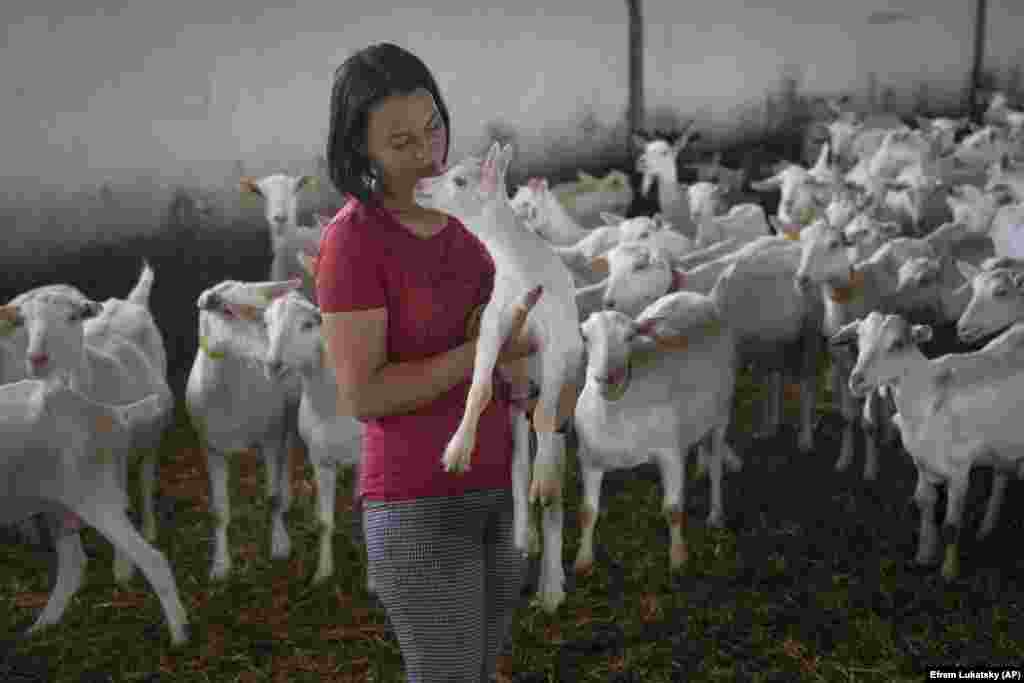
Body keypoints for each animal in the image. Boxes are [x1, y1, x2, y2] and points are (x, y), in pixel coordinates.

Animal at [0, 378, 188, 647]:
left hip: (96, 498)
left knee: (153, 559)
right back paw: (41, 627)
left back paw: (180, 637)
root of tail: (112, 414)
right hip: (61, 507)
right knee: (74, 565)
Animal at [185, 280, 303, 581]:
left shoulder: (269, 437)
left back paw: (287, 496)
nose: (275, 360)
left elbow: (272, 498)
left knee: (289, 448)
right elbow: (219, 511)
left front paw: (279, 545)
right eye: (226, 310)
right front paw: (220, 565)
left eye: (266, 315)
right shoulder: (211, 447)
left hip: (289, 409)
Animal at [411, 141, 581, 610]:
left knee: (550, 464)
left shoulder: (555, 342)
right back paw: (525, 536)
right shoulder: (495, 323)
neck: (520, 266)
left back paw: (551, 582)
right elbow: (479, 388)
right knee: (519, 459)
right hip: (517, 402)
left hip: (558, 405)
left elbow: (546, 421)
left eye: (458, 180)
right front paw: (457, 449)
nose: (418, 185)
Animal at [577, 292, 737, 573]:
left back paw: (716, 514)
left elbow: (672, 510)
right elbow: (587, 511)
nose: (609, 376)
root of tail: (699, 297)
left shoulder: (668, 452)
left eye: (630, 336)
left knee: (716, 461)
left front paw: (678, 558)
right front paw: (583, 561)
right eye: (585, 336)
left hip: (722, 411)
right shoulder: (589, 458)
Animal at [831, 313, 1024, 581]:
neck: (928, 395)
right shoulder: (921, 462)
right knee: (1001, 474)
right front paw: (924, 553)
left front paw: (948, 572)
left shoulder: (960, 471)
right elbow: (924, 501)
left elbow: (951, 526)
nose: (856, 380)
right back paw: (987, 527)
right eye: (858, 339)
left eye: (897, 344)